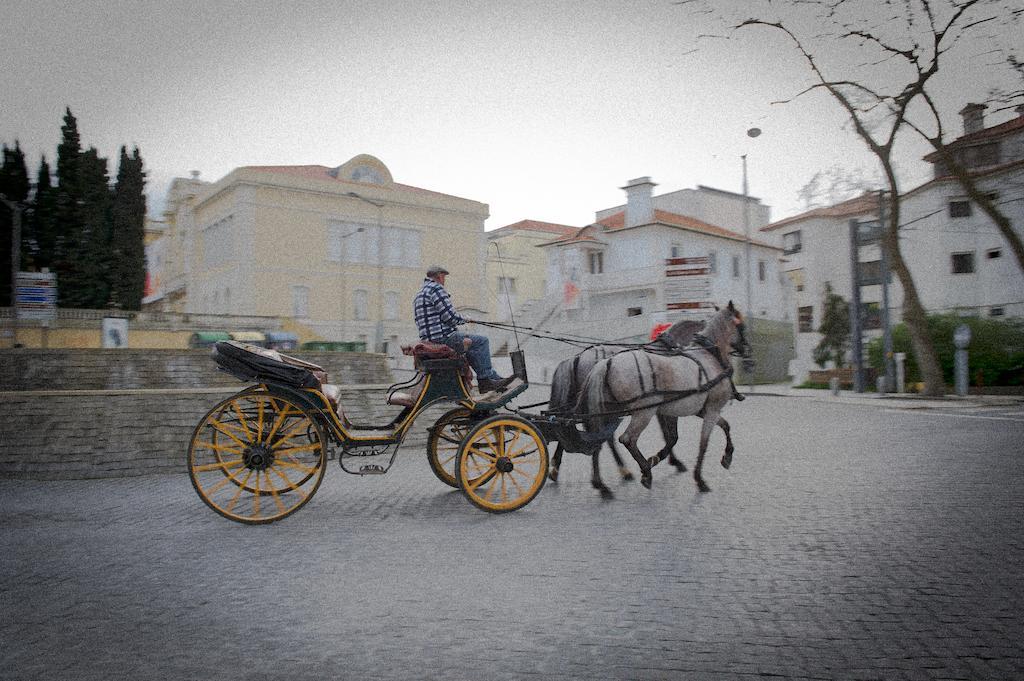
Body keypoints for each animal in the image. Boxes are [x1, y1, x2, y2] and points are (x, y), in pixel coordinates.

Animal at [585, 301, 753, 489]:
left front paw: (727, 456)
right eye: (742, 325)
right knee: (627, 439)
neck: (708, 355)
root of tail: (608, 362)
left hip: (609, 411)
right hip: (644, 412)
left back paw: (606, 479)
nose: (747, 351)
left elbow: (724, 426)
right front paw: (699, 478)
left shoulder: (702, 411)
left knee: (600, 438)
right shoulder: (711, 409)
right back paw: (644, 471)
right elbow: (703, 443)